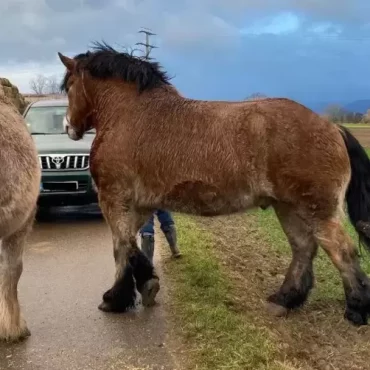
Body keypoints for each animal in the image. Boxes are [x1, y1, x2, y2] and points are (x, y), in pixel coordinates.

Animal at [58, 42, 370, 326]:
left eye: (69, 85)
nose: (68, 126)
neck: (130, 114)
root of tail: (331, 127)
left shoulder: (114, 200)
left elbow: (121, 248)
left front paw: (115, 299)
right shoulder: (138, 205)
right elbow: (131, 248)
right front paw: (145, 284)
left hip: (318, 211)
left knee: (342, 251)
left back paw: (357, 309)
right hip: (288, 207)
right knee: (304, 248)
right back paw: (285, 299)